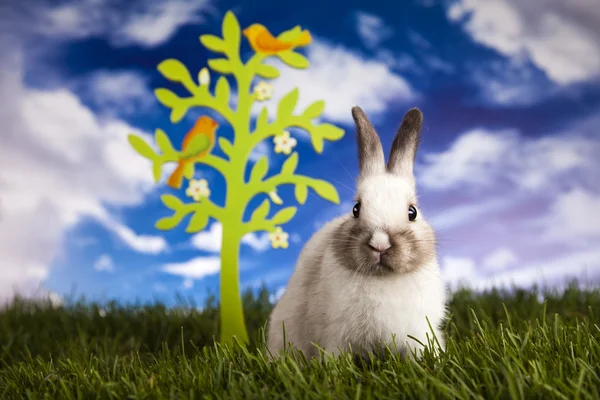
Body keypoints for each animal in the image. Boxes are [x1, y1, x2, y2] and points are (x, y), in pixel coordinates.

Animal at [266, 105, 446, 360]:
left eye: (412, 212)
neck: (381, 279)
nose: (380, 244)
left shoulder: (420, 332)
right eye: (356, 209)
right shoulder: (336, 337)